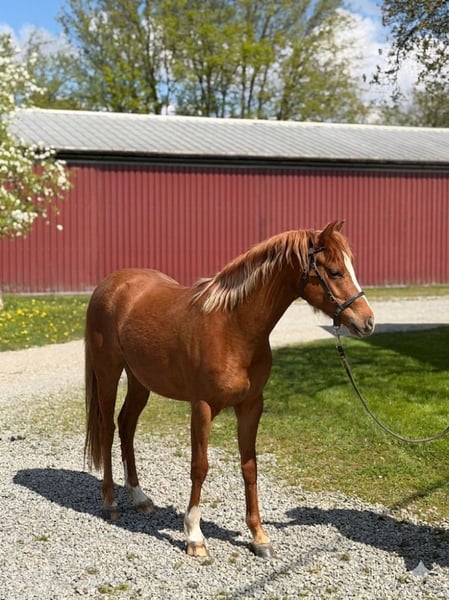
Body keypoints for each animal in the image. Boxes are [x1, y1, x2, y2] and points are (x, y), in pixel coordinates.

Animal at [84, 220, 375, 559]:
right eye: (335, 271)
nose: (368, 322)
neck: (233, 327)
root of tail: (111, 284)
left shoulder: (251, 405)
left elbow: (250, 467)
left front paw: (259, 537)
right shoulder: (202, 406)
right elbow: (200, 466)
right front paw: (194, 536)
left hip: (140, 380)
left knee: (126, 425)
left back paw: (139, 497)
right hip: (108, 371)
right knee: (107, 429)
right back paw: (110, 502)